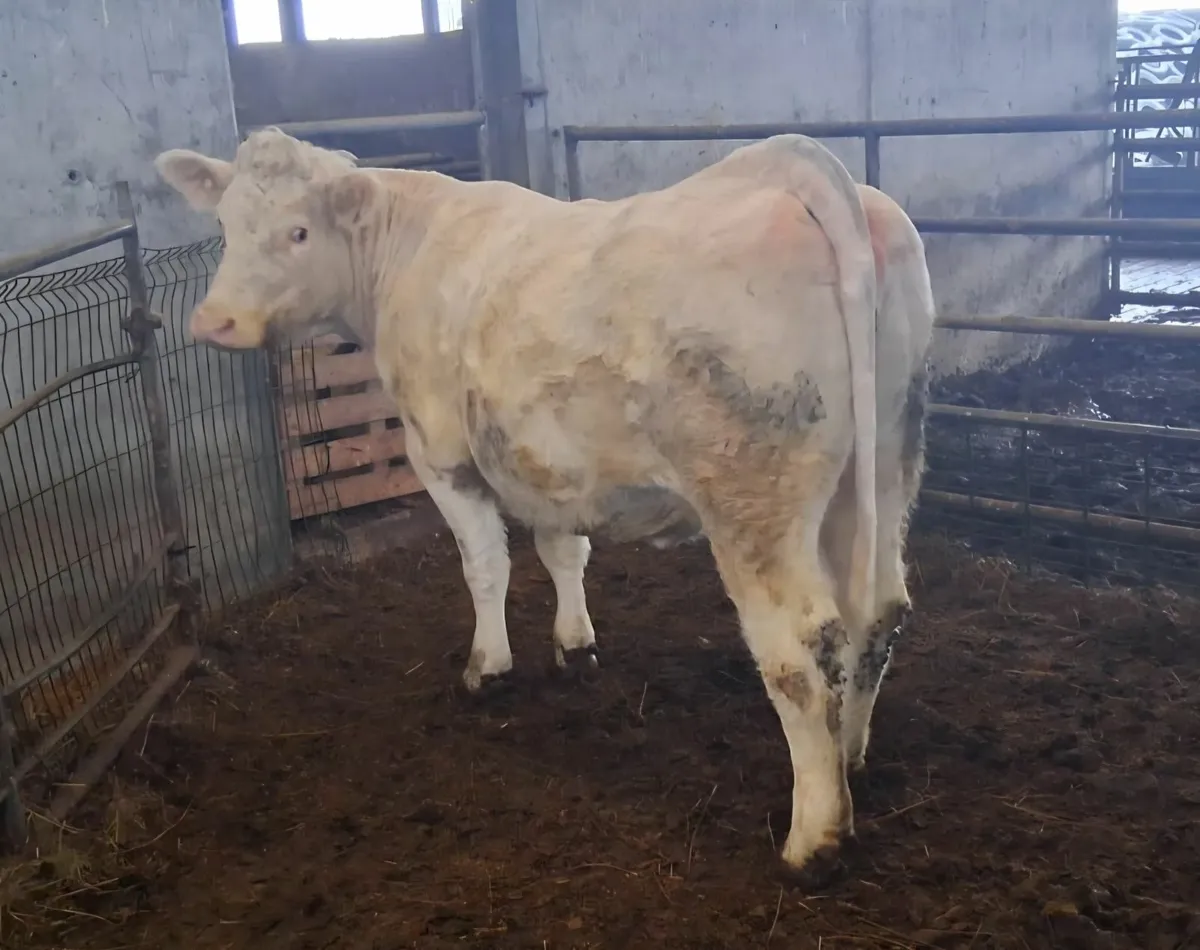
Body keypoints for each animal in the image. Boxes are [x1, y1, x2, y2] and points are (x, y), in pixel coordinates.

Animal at [154, 128, 934, 879]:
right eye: (224, 223)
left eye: (298, 232)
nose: (214, 322)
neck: (407, 247)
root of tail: (794, 171)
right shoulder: (549, 462)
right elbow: (563, 549)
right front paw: (574, 643)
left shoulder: (439, 450)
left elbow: (484, 567)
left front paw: (487, 669)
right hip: (885, 459)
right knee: (876, 611)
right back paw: (851, 756)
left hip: (753, 496)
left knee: (802, 647)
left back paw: (815, 837)